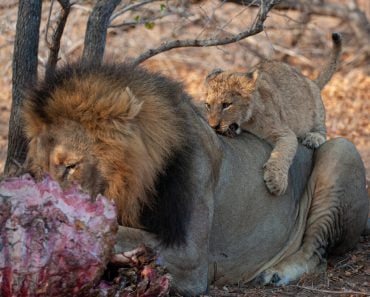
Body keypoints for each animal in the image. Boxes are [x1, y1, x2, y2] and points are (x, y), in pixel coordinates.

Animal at [21, 60, 368, 294]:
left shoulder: (191, 258)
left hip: (342, 150)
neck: (133, 184)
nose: (44, 206)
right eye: (39, 171)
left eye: (70, 166)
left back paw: (277, 272)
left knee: (316, 252)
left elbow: (120, 233)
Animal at [205, 33, 342, 195]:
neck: (248, 121)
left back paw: (313, 138)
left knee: (322, 130)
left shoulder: (284, 132)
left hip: (316, 107)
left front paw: (276, 182)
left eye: (226, 105)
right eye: (208, 106)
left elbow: (282, 153)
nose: (213, 126)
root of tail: (309, 80)